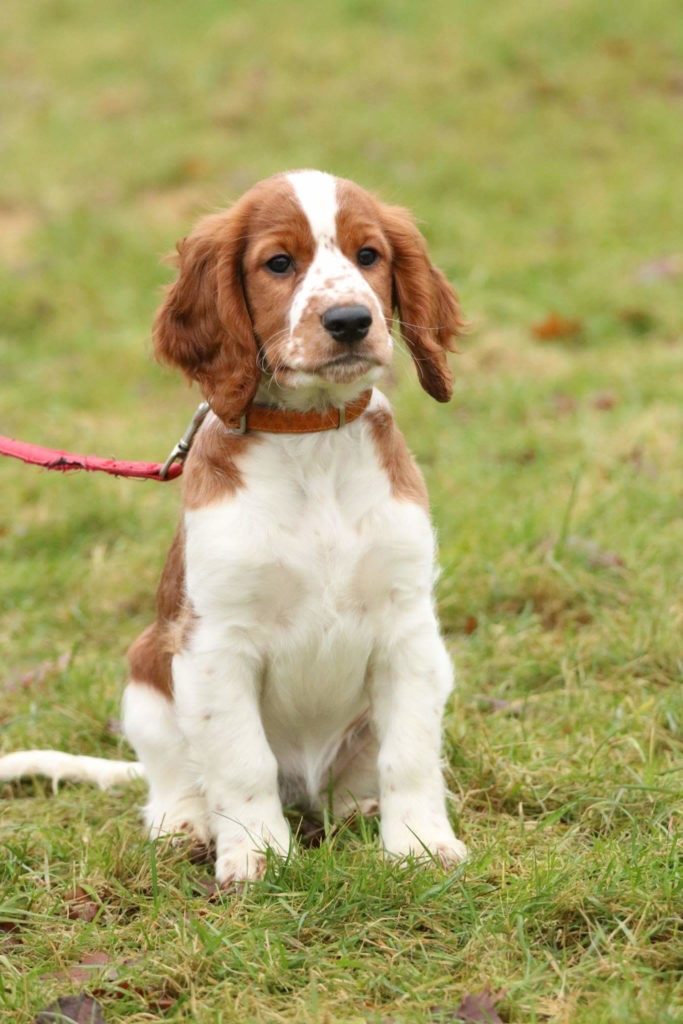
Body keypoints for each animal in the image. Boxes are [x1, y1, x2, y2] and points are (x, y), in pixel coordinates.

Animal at [0, 172, 471, 884]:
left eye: (369, 256)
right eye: (278, 263)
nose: (350, 321)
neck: (312, 440)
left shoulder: (408, 628)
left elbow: (410, 751)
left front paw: (419, 846)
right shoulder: (215, 643)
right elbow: (243, 760)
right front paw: (254, 858)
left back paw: (359, 808)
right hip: (146, 676)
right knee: (175, 778)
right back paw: (185, 827)